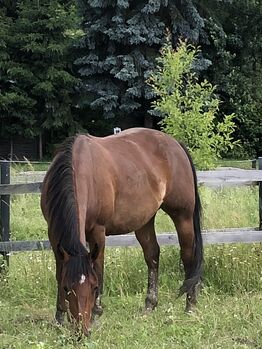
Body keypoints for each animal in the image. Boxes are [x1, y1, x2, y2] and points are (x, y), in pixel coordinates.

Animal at [40, 127, 203, 334]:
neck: (81, 170)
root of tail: (176, 144)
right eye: (67, 288)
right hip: (144, 221)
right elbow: (60, 272)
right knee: (152, 255)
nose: (82, 330)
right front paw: (60, 317)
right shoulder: (54, 236)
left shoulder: (97, 232)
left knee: (188, 256)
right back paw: (149, 305)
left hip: (183, 216)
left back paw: (190, 305)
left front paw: (96, 314)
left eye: (93, 288)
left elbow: (98, 269)